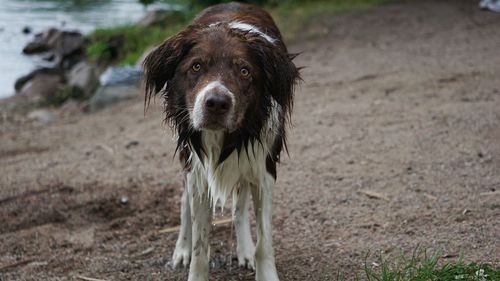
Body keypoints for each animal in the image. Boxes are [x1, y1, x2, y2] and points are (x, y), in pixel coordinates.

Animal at [144, 1, 300, 278]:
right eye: (196, 66)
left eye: (245, 71)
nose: (216, 103)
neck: (225, 138)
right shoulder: (197, 170)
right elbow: (200, 247)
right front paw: (192, 260)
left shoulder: (263, 167)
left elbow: (264, 241)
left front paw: (263, 269)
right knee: (184, 203)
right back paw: (181, 248)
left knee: (239, 206)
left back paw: (244, 249)